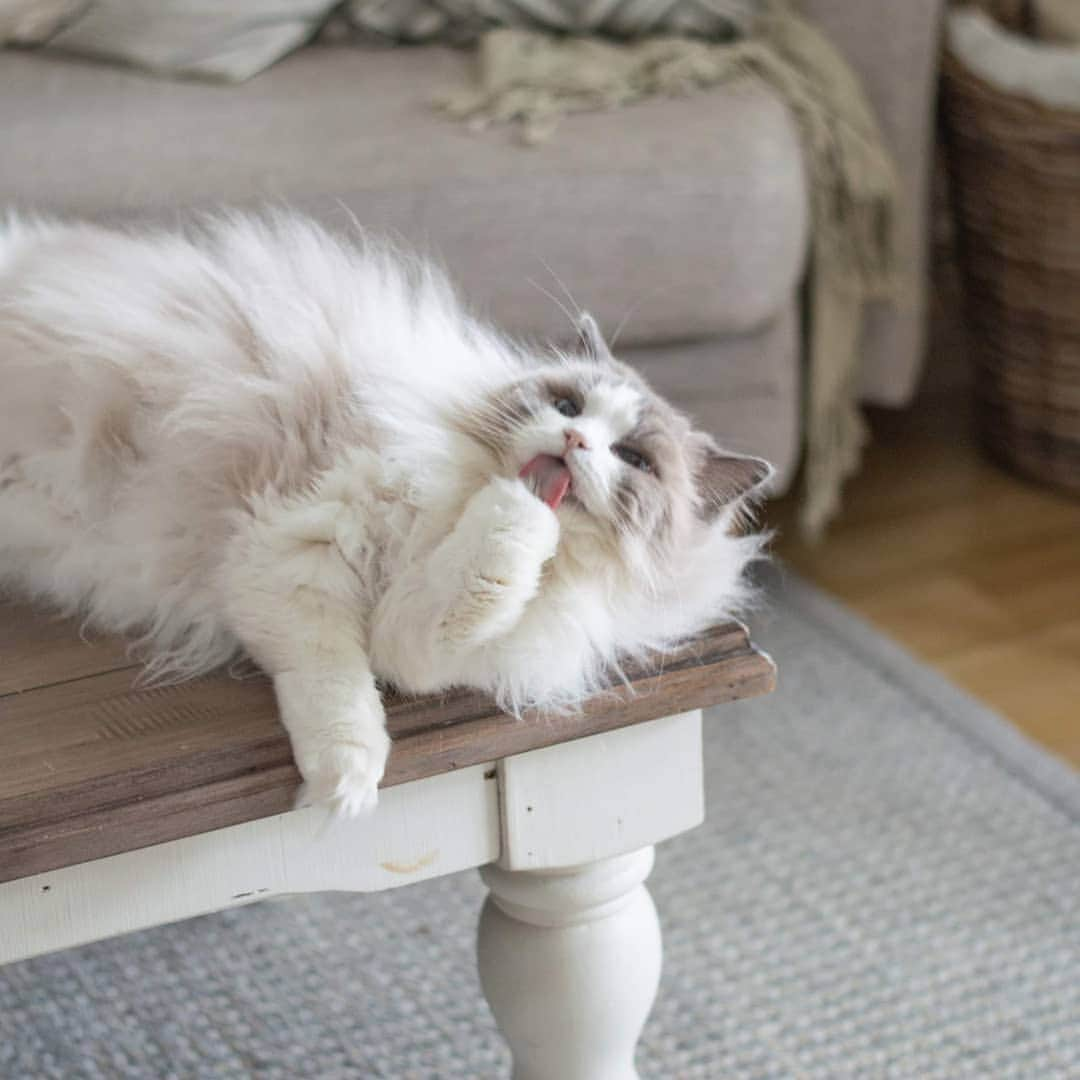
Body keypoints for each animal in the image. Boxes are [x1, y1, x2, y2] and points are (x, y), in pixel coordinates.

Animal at [4, 212, 773, 812]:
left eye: (635, 460)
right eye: (568, 405)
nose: (574, 443)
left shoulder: (418, 638)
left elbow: (461, 600)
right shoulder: (294, 554)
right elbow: (336, 691)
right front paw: (344, 788)